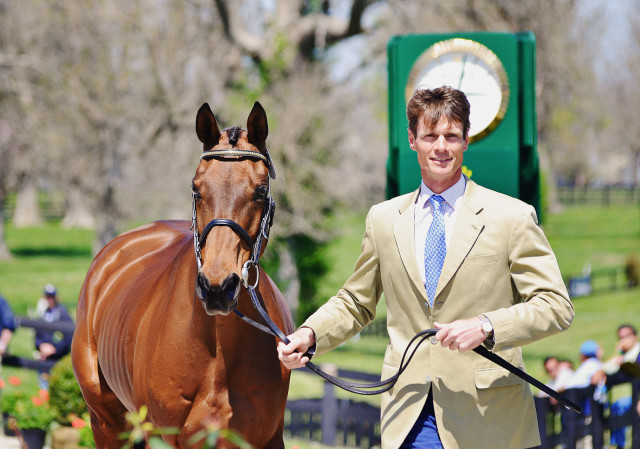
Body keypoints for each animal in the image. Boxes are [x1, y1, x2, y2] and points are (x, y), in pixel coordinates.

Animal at [71, 102, 294, 448]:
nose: (217, 287)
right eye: (196, 188)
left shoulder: (265, 439)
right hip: (106, 421)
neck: (216, 353)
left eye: (260, 191)